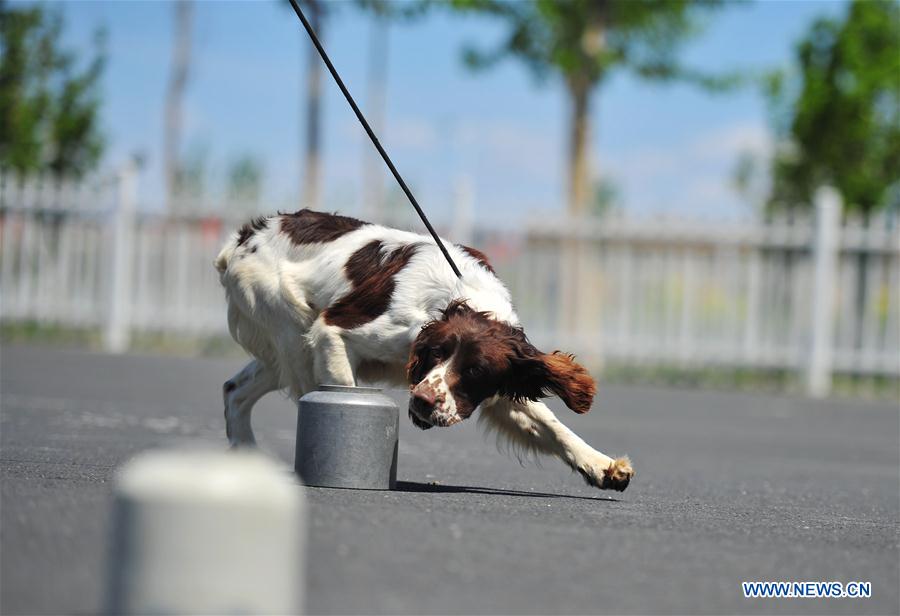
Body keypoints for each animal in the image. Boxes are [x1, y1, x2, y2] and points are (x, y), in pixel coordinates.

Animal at [214, 209, 632, 494]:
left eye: (476, 371)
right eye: (435, 354)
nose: (423, 401)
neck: (462, 297)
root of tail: (242, 239)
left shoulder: (502, 384)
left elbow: (553, 427)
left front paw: (602, 466)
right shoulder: (332, 332)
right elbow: (345, 390)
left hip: (283, 347)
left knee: (235, 391)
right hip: (293, 330)